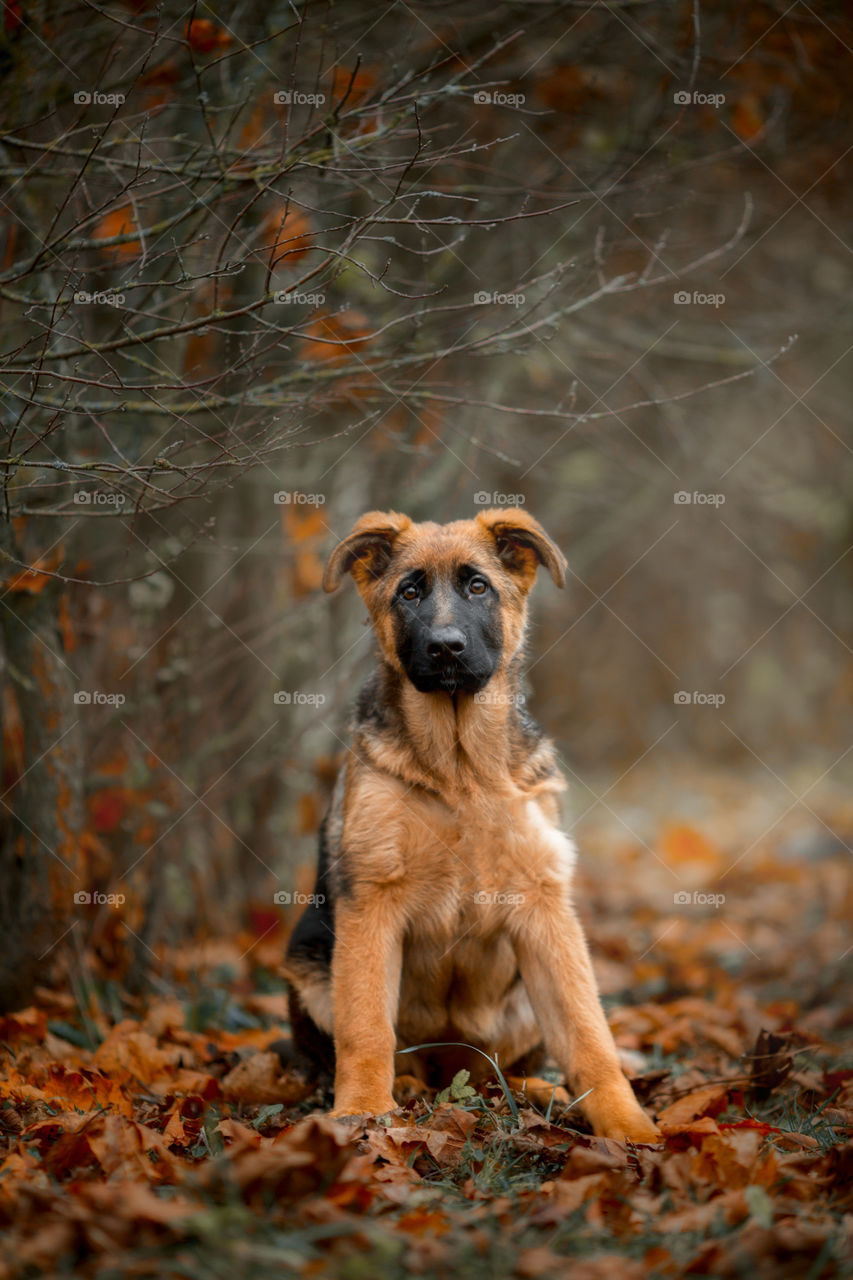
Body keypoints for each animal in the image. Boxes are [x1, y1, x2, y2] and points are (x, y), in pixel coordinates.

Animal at [284, 509, 655, 1141]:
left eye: (478, 586)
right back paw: (408, 1090)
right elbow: (366, 1027)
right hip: (312, 974)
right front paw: (361, 1113)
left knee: (500, 1071)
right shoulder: (372, 902)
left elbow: (589, 1034)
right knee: (393, 1053)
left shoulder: (545, 907)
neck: (461, 771)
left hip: (520, 1002)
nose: (446, 648)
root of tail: (449, 1062)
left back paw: (540, 1092)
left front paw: (631, 1128)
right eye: (409, 592)